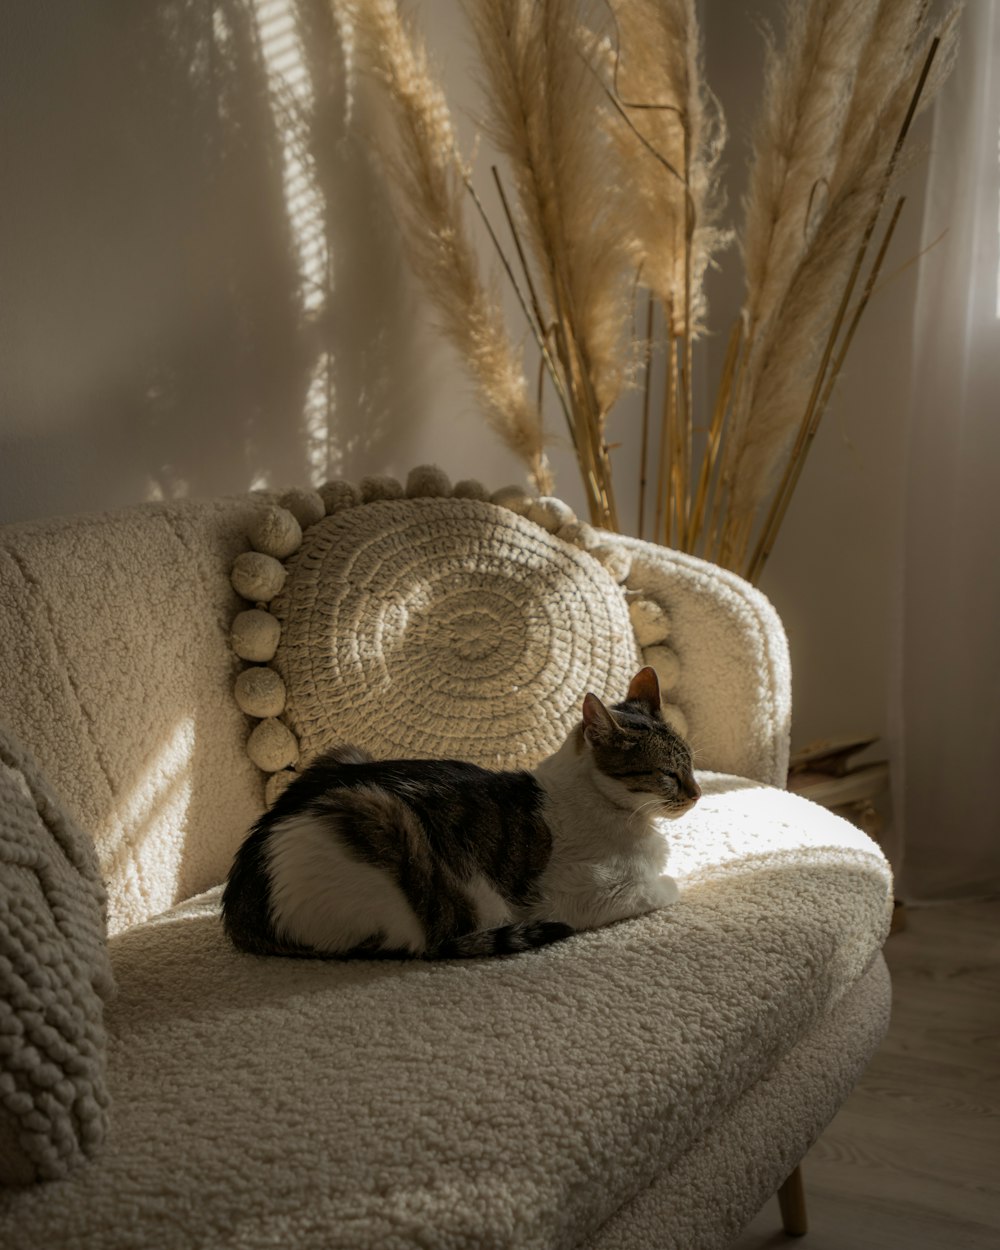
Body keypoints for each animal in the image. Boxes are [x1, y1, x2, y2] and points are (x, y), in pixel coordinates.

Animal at [221, 670, 700, 960]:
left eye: (692, 765)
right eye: (668, 775)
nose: (697, 794)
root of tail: (240, 904)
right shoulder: (591, 895)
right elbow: (667, 886)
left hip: (343, 755)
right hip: (379, 824)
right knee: (424, 940)